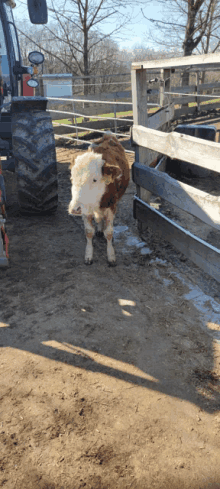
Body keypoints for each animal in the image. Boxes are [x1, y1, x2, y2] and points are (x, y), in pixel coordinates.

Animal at [69, 133, 130, 264]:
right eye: (72, 178)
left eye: (95, 179)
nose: (75, 209)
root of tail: (108, 135)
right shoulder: (85, 210)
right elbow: (88, 232)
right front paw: (88, 255)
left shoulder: (111, 206)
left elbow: (109, 233)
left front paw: (111, 255)